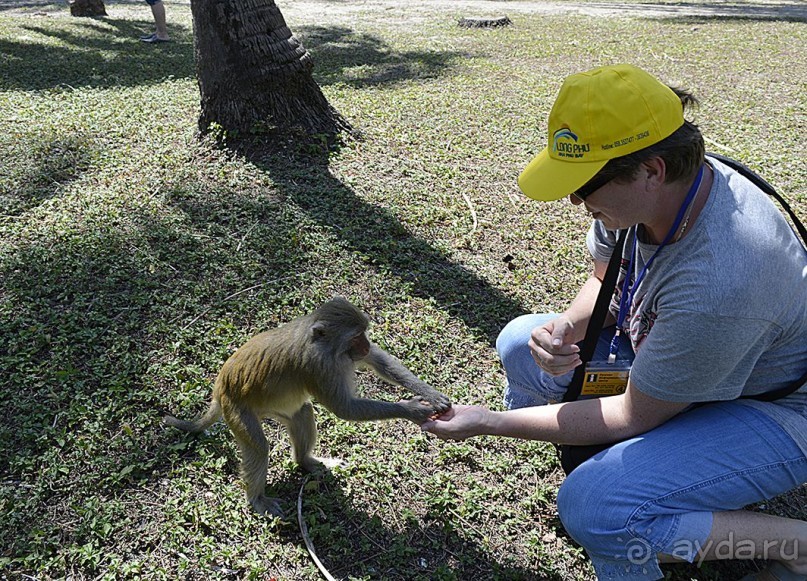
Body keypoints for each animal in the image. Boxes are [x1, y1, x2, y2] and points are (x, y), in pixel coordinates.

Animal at [163, 296, 454, 516]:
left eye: (363, 335)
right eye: (356, 337)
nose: (366, 345)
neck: (319, 343)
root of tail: (220, 388)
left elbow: (378, 361)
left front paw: (430, 394)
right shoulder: (318, 367)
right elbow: (344, 409)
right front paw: (413, 410)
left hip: (271, 407)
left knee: (302, 413)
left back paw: (305, 461)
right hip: (237, 411)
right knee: (259, 447)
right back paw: (257, 499)